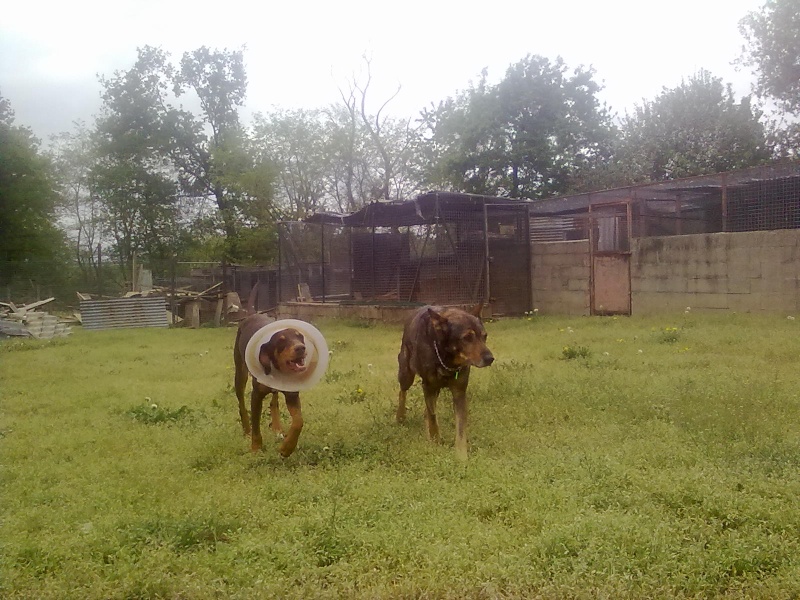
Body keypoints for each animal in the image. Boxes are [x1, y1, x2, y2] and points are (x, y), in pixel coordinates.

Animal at [236, 312, 308, 458]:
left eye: (300, 336)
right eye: (281, 340)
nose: (301, 348)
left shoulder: (292, 394)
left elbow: (298, 421)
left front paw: (287, 448)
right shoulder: (256, 395)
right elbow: (256, 425)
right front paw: (256, 448)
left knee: (274, 401)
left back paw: (277, 428)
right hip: (240, 373)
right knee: (241, 403)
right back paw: (246, 430)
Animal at [396, 304, 494, 460]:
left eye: (484, 336)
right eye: (467, 337)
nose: (490, 358)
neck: (447, 357)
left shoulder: (459, 392)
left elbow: (460, 429)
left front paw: (461, 457)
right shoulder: (428, 387)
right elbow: (433, 416)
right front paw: (435, 441)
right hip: (407, 374)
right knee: (403, 392)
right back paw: (400, 417)